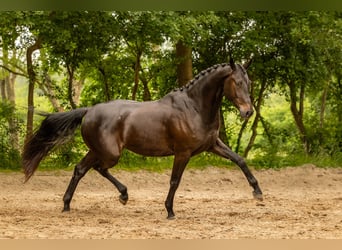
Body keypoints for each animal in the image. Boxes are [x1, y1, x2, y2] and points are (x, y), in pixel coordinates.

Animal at [22, 58, 264, 219]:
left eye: (249, 83)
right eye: (237, 83)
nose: (248, 112)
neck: (194, 107)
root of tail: (89, 110)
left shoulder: (213, 145)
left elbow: (240, 160)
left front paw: (258, 193)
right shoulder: (183, 153)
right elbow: (175, 181)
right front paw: (169, 210)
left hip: (98, 150)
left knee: (80, 169)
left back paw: (68, 205)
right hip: (110, 153)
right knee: (98, 168)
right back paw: (122, 195)